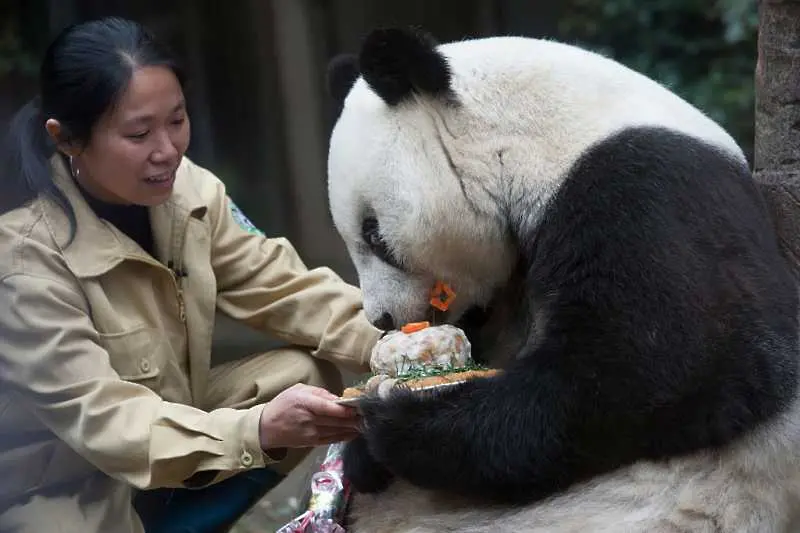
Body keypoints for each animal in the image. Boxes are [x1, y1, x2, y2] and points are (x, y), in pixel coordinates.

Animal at [322, 29, 800, 532]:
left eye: (373, 234)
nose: (382, 318)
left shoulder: (648, 191)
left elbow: (671, 364)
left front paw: (399, 424)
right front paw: (362, 453)